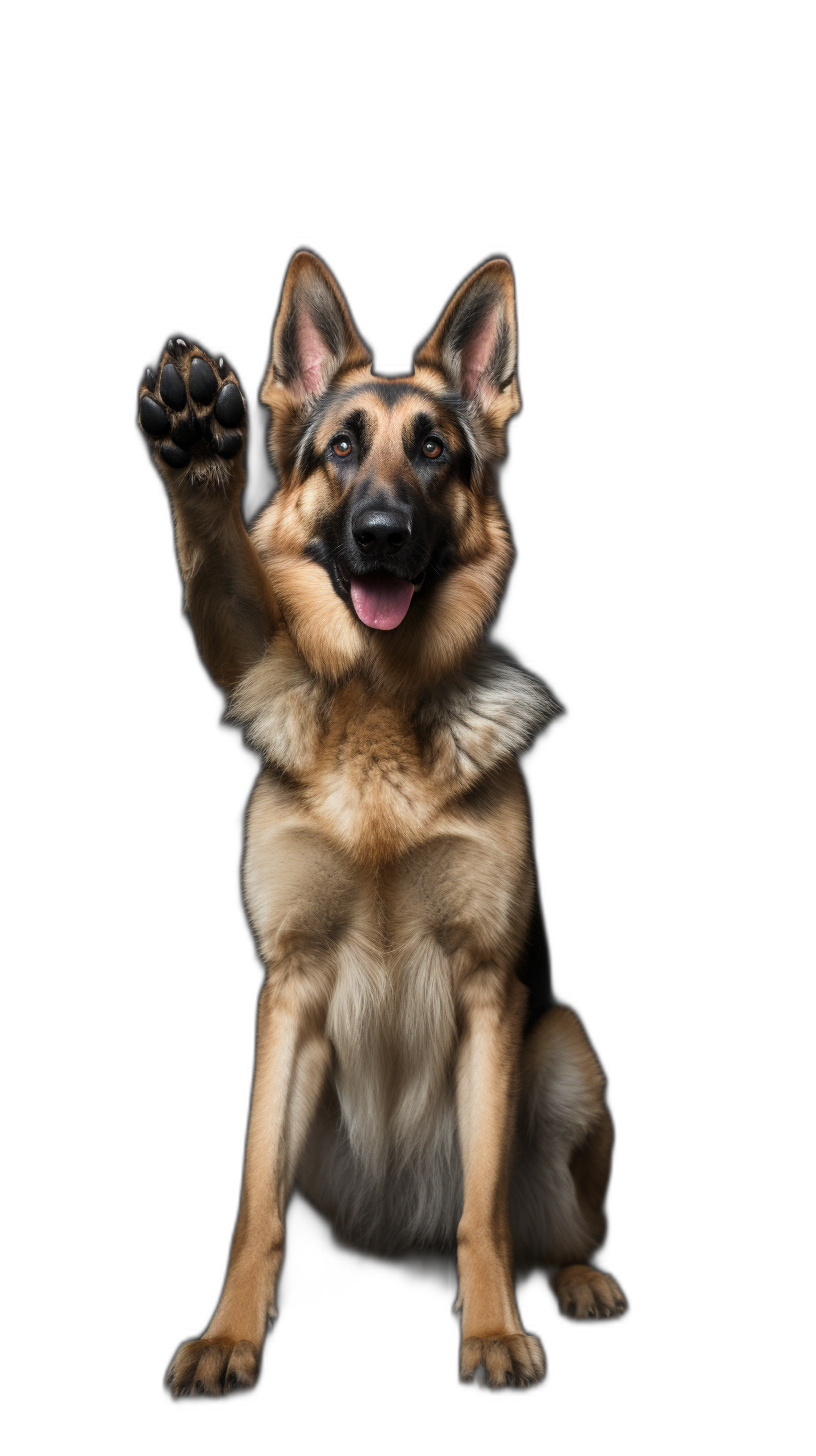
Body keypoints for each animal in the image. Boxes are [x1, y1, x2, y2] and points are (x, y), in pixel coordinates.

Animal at [138, 253, 623, 1397]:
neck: (378, 710)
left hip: (563, 1054)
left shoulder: (492, 992)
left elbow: (485, 1212)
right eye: (343, 447)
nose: (382, 536)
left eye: (436, 448)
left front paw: (492, 1334)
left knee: (543, 1222)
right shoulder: (288, 991)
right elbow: (253, 1206)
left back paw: (576, 1279)